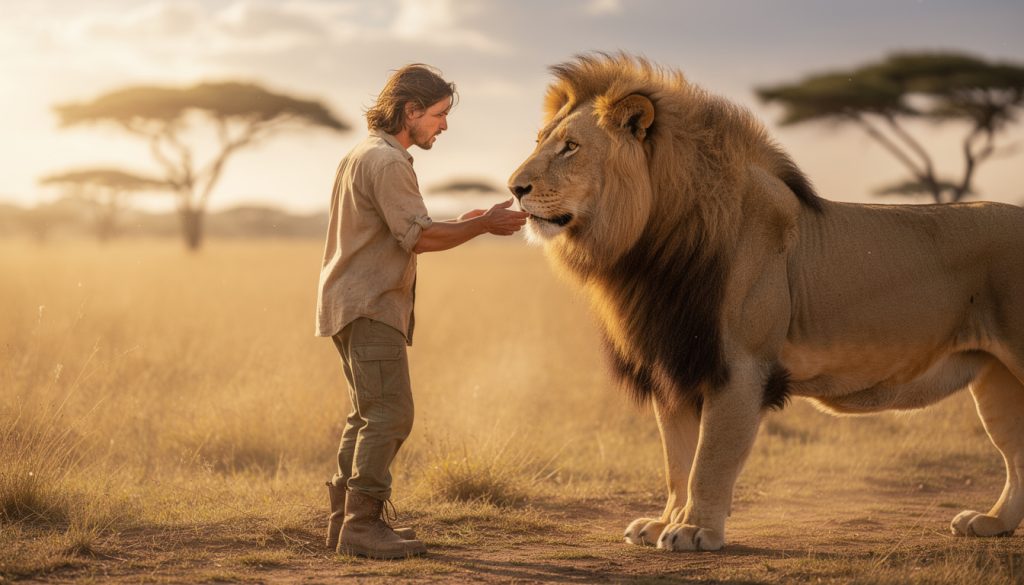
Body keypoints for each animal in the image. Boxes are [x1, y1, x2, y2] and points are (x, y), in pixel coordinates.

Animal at [506, 53, 1024, 552]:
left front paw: (695, 530)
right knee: (1017, 454)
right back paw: (993, 523)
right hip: (996, 378)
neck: (651, 247)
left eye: (570, 147)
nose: (514, 188)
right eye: (540, 141)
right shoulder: (677, 365)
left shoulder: (739, 366)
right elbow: (677, 461)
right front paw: (664, 522)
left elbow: (709, 459)